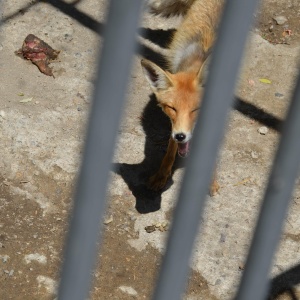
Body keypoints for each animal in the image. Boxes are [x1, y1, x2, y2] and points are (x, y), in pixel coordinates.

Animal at [141, 0, 223, 196]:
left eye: (196, 109)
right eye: (172, 108)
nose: (180, 136)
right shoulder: (175, 124)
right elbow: (170, 152)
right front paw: (161, 176)